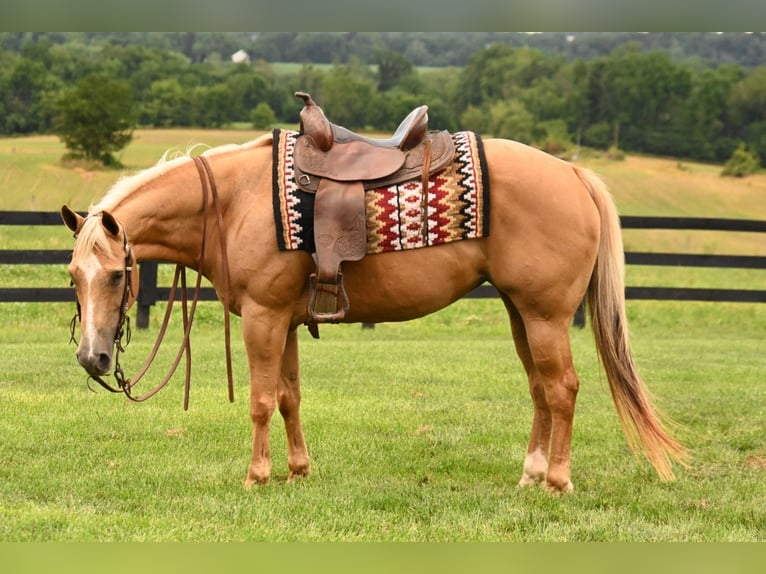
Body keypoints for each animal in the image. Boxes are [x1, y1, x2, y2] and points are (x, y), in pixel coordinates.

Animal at [60, 130, 687, 493]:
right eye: (73, 276)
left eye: (115, 275)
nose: (92, 358)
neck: (235, 203)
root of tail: (572, 174)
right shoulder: (285, 320)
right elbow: (289, 397)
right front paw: (298, 471)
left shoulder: (263, 317)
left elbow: (261, 401)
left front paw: (257, 476)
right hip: (519, 312)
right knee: (539, 388)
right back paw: (531, 475)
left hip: (546, 315)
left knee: (561, 389)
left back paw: (557, 481)